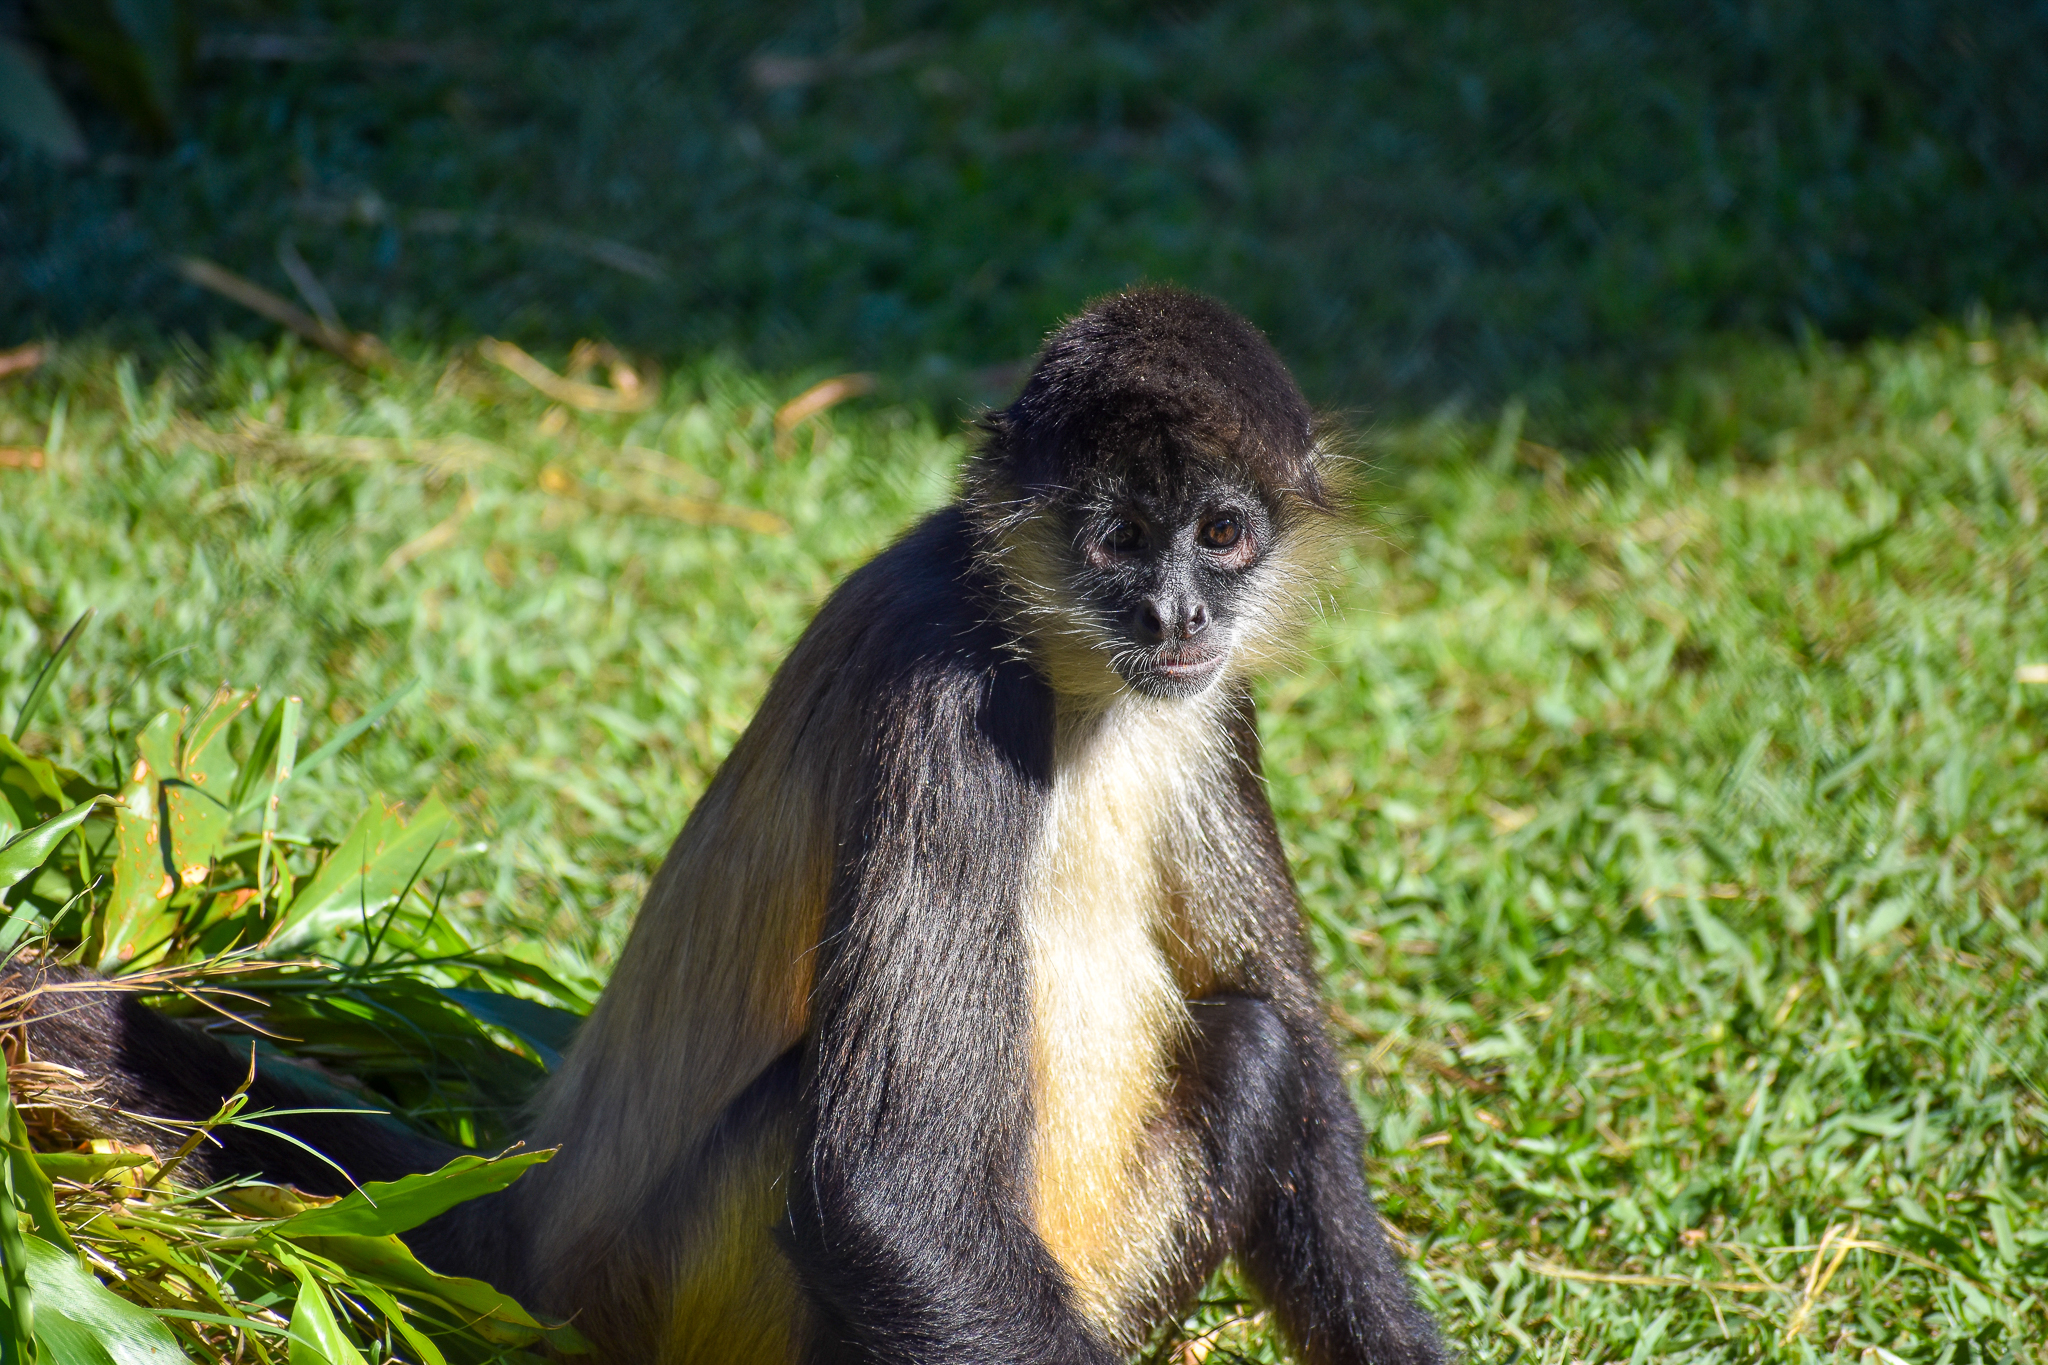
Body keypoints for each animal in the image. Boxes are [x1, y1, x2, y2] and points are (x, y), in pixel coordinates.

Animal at [13, 287, 1447, 1365]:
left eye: (1223, 533)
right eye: (1119, 540)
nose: (1175, 614)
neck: (1070, 672)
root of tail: (518, 1221)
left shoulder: (1211, 705)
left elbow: (1306, 1087)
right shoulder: (950, 695)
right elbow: (886, 1198)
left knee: (1255, 1043)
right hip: (684, 1286)